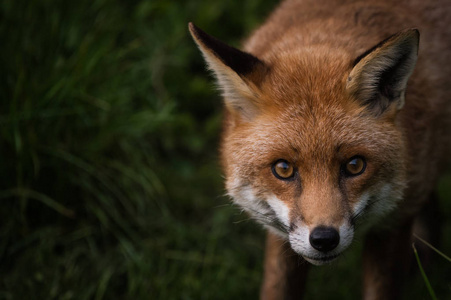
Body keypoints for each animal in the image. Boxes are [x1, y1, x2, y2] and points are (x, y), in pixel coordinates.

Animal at [189, 1, 450, 298]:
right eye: (283, 169)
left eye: (355, 165)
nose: (324, 239)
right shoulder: (282, 237)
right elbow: (278, 288)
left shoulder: (394, 223)